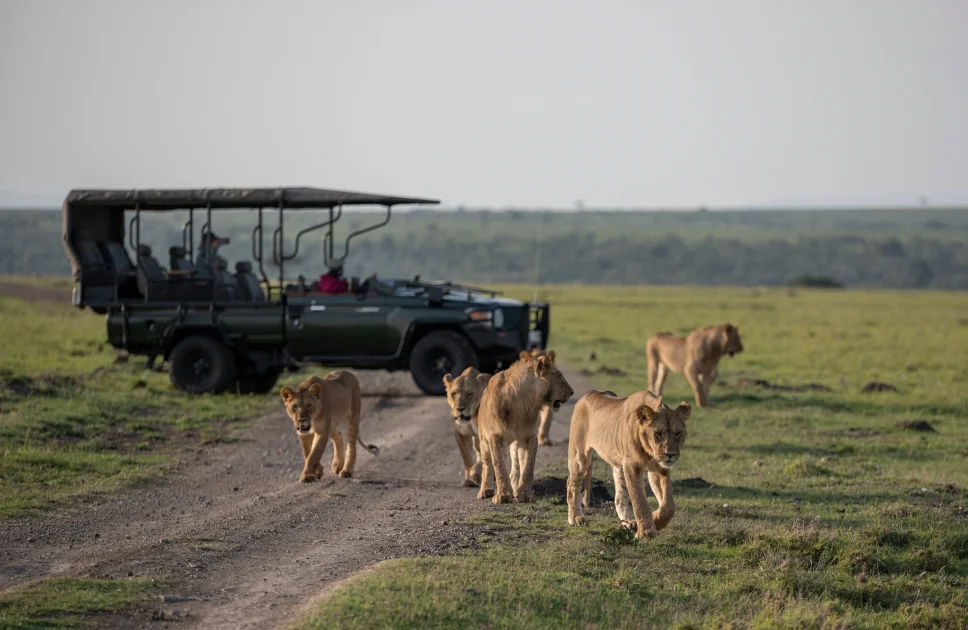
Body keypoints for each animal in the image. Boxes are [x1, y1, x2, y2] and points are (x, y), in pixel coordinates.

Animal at [477, 352, 574, 504]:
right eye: (559, 376)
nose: (572, 392)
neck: (522, 403)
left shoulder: (530, 437)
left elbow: (528, 467)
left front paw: (524, 495)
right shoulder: (495, 438)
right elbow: (499, 466)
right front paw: (503, 496)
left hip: (514, 444)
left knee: (517, 464)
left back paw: (515, 487)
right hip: (484, 440)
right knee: (487, 464)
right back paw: (485, 490)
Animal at [567, 389, 691, 538]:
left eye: (677, 433)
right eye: (658, 433)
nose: (670, 454)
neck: (649, 451)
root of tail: (588, 393)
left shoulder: (658, 468)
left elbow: (668, 505)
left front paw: (652, 521)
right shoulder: (632, 466)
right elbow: (640, 501)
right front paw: (646, 532)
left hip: (618, 465)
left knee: (619, 498)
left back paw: (629, 523)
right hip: (580, 457)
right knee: (571, 483)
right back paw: (575, 518)